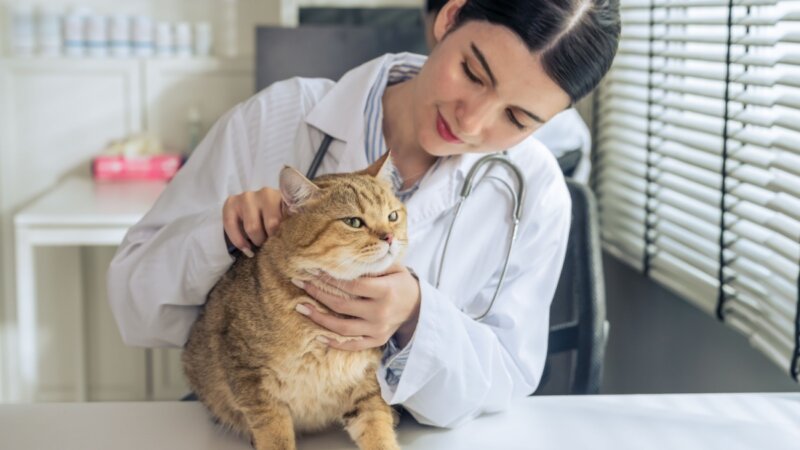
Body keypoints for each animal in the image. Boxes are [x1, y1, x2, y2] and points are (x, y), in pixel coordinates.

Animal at [182, 152, 406, 450]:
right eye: (354, 222)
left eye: (393, 216)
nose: (390, 237)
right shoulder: (252, 379)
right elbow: (274, 434)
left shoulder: (366, 381)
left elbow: (377, 426)